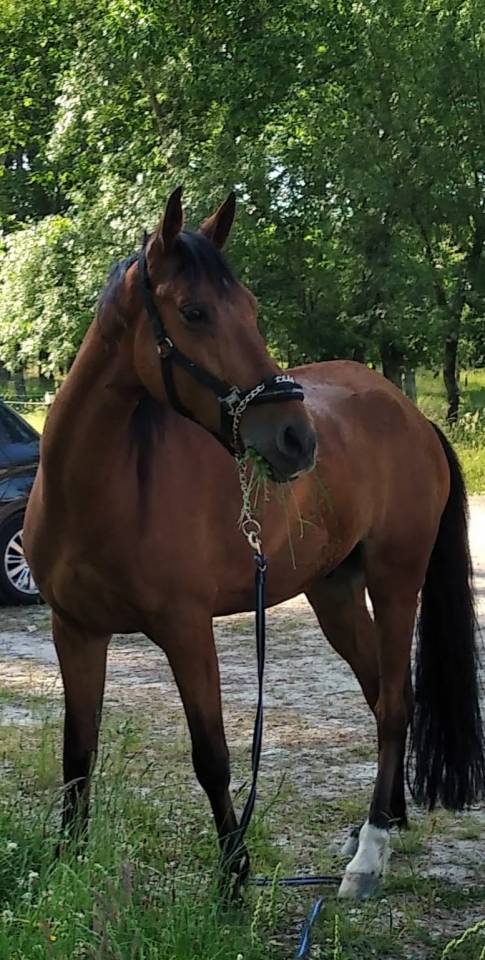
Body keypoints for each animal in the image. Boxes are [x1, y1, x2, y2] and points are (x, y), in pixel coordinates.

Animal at [23, 187, 485, 901]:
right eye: (194, 312)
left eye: (251, 310)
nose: (297, 439)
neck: (103, 489)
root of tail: (411, 416)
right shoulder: (74, 630)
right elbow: (78, 752)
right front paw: (65, 866)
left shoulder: (187, 631)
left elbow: (211, 755)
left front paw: (234, 878)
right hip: (335, 593)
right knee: (382, 696)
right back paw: (384, 821)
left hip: (395, 581)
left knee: (393, 705)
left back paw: (369, 854)